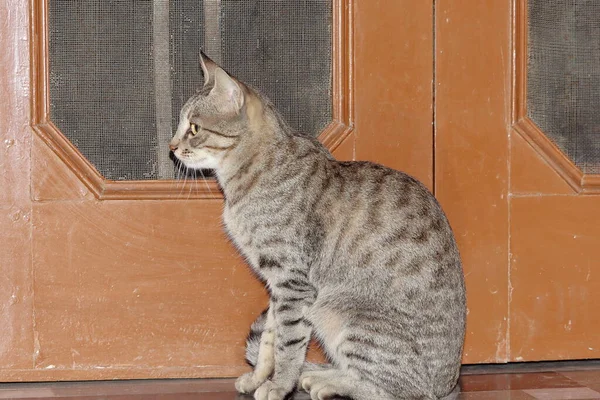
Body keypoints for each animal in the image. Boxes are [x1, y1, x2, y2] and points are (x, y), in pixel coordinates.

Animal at [170, 54, 468, 400]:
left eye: (193, 127)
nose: (171, 146)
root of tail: (450, 385)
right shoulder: (277, 284)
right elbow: (270, 339)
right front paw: (259, 378)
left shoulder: (292, 282)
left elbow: (288, 345)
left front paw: (279, 385)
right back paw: (321, 376)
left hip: (343, 314)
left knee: (391, 390)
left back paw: (327, 383)